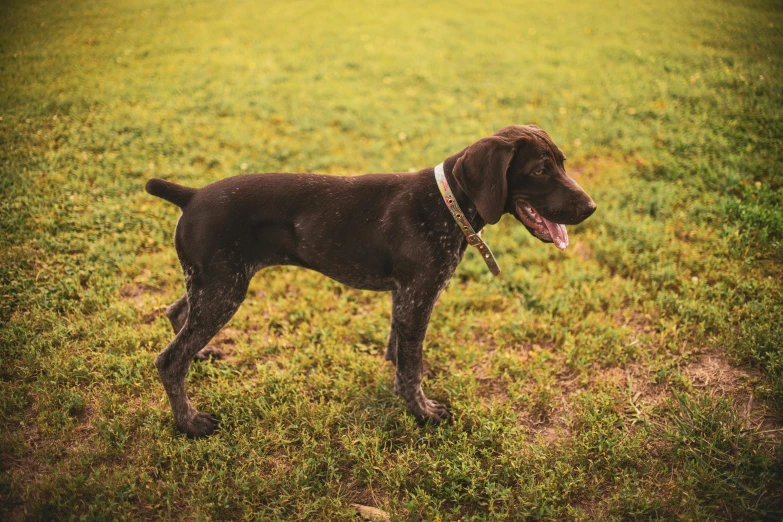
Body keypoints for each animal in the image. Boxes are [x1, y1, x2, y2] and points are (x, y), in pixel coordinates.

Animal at [145, 125, 596, 434]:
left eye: (562, 162)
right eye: (541, 169)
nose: (591, 206)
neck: (446, 203)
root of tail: (192, 195)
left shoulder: (405, 297)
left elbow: (401, 353)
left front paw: (399, 382)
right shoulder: (418, 296)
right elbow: (412, 367)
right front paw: (422, 412)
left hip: (211, 285)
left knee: (177, 315)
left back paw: (201, 356)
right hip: (223, 290)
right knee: (169, 359)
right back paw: (189, 422)